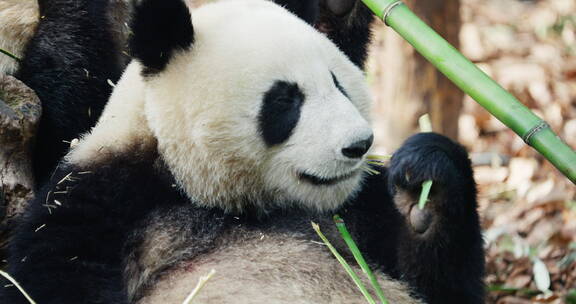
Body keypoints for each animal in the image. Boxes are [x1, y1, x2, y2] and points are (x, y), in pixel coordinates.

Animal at [0, 0, 486, 304]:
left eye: (339, 83)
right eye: (286, 100)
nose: (358, 145)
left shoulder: (356, 212)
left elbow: (447, 291)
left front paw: (423, 189)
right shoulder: (98, 205)